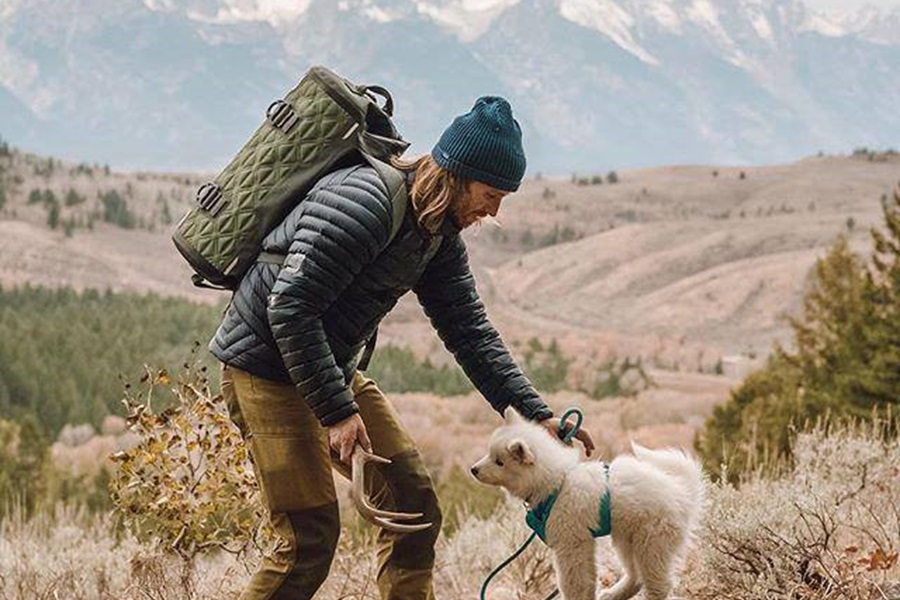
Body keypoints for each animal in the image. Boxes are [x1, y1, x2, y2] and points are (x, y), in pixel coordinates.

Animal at [472, 408, 704, 600]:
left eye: (499, 462)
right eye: (489, 454)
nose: (473, 470)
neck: (557, 482)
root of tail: (682, 491)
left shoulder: (571, 543)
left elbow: (574, 583)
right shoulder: (583, 541)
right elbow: (587, 580)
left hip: (651, 544)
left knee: (658, 585)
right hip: (627, 539)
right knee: (635, 576)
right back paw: (612, 594)